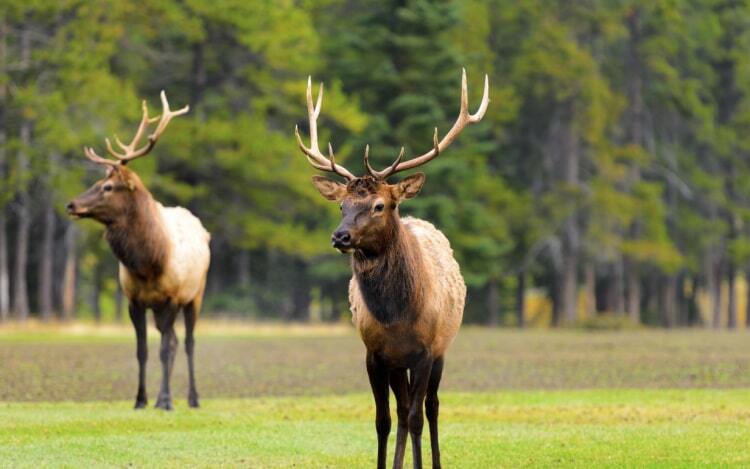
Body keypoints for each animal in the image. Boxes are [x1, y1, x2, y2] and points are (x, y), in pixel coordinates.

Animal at [66, 92, 212, 410]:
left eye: (108, 186)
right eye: (96, 182)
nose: (71, 204)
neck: (148, 263)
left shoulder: (171, 298)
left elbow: (165, 349)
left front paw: (166, 400)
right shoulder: (134, 301)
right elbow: (142, 351)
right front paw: (141, 399)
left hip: (195, 295)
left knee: (187, 343)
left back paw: (192, 398)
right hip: (159, 308)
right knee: (172, 341)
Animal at [296, 67, 490, 466]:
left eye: (379, 205)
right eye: (342, 205)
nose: (340, 236)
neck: (396, 316)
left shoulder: (427, 351)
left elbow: (417, 417)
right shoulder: (375, 353)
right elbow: (383, 420)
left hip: (442, 349)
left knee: (431, 407)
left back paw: (434, 460)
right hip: (398, 364)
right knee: (401, 411)